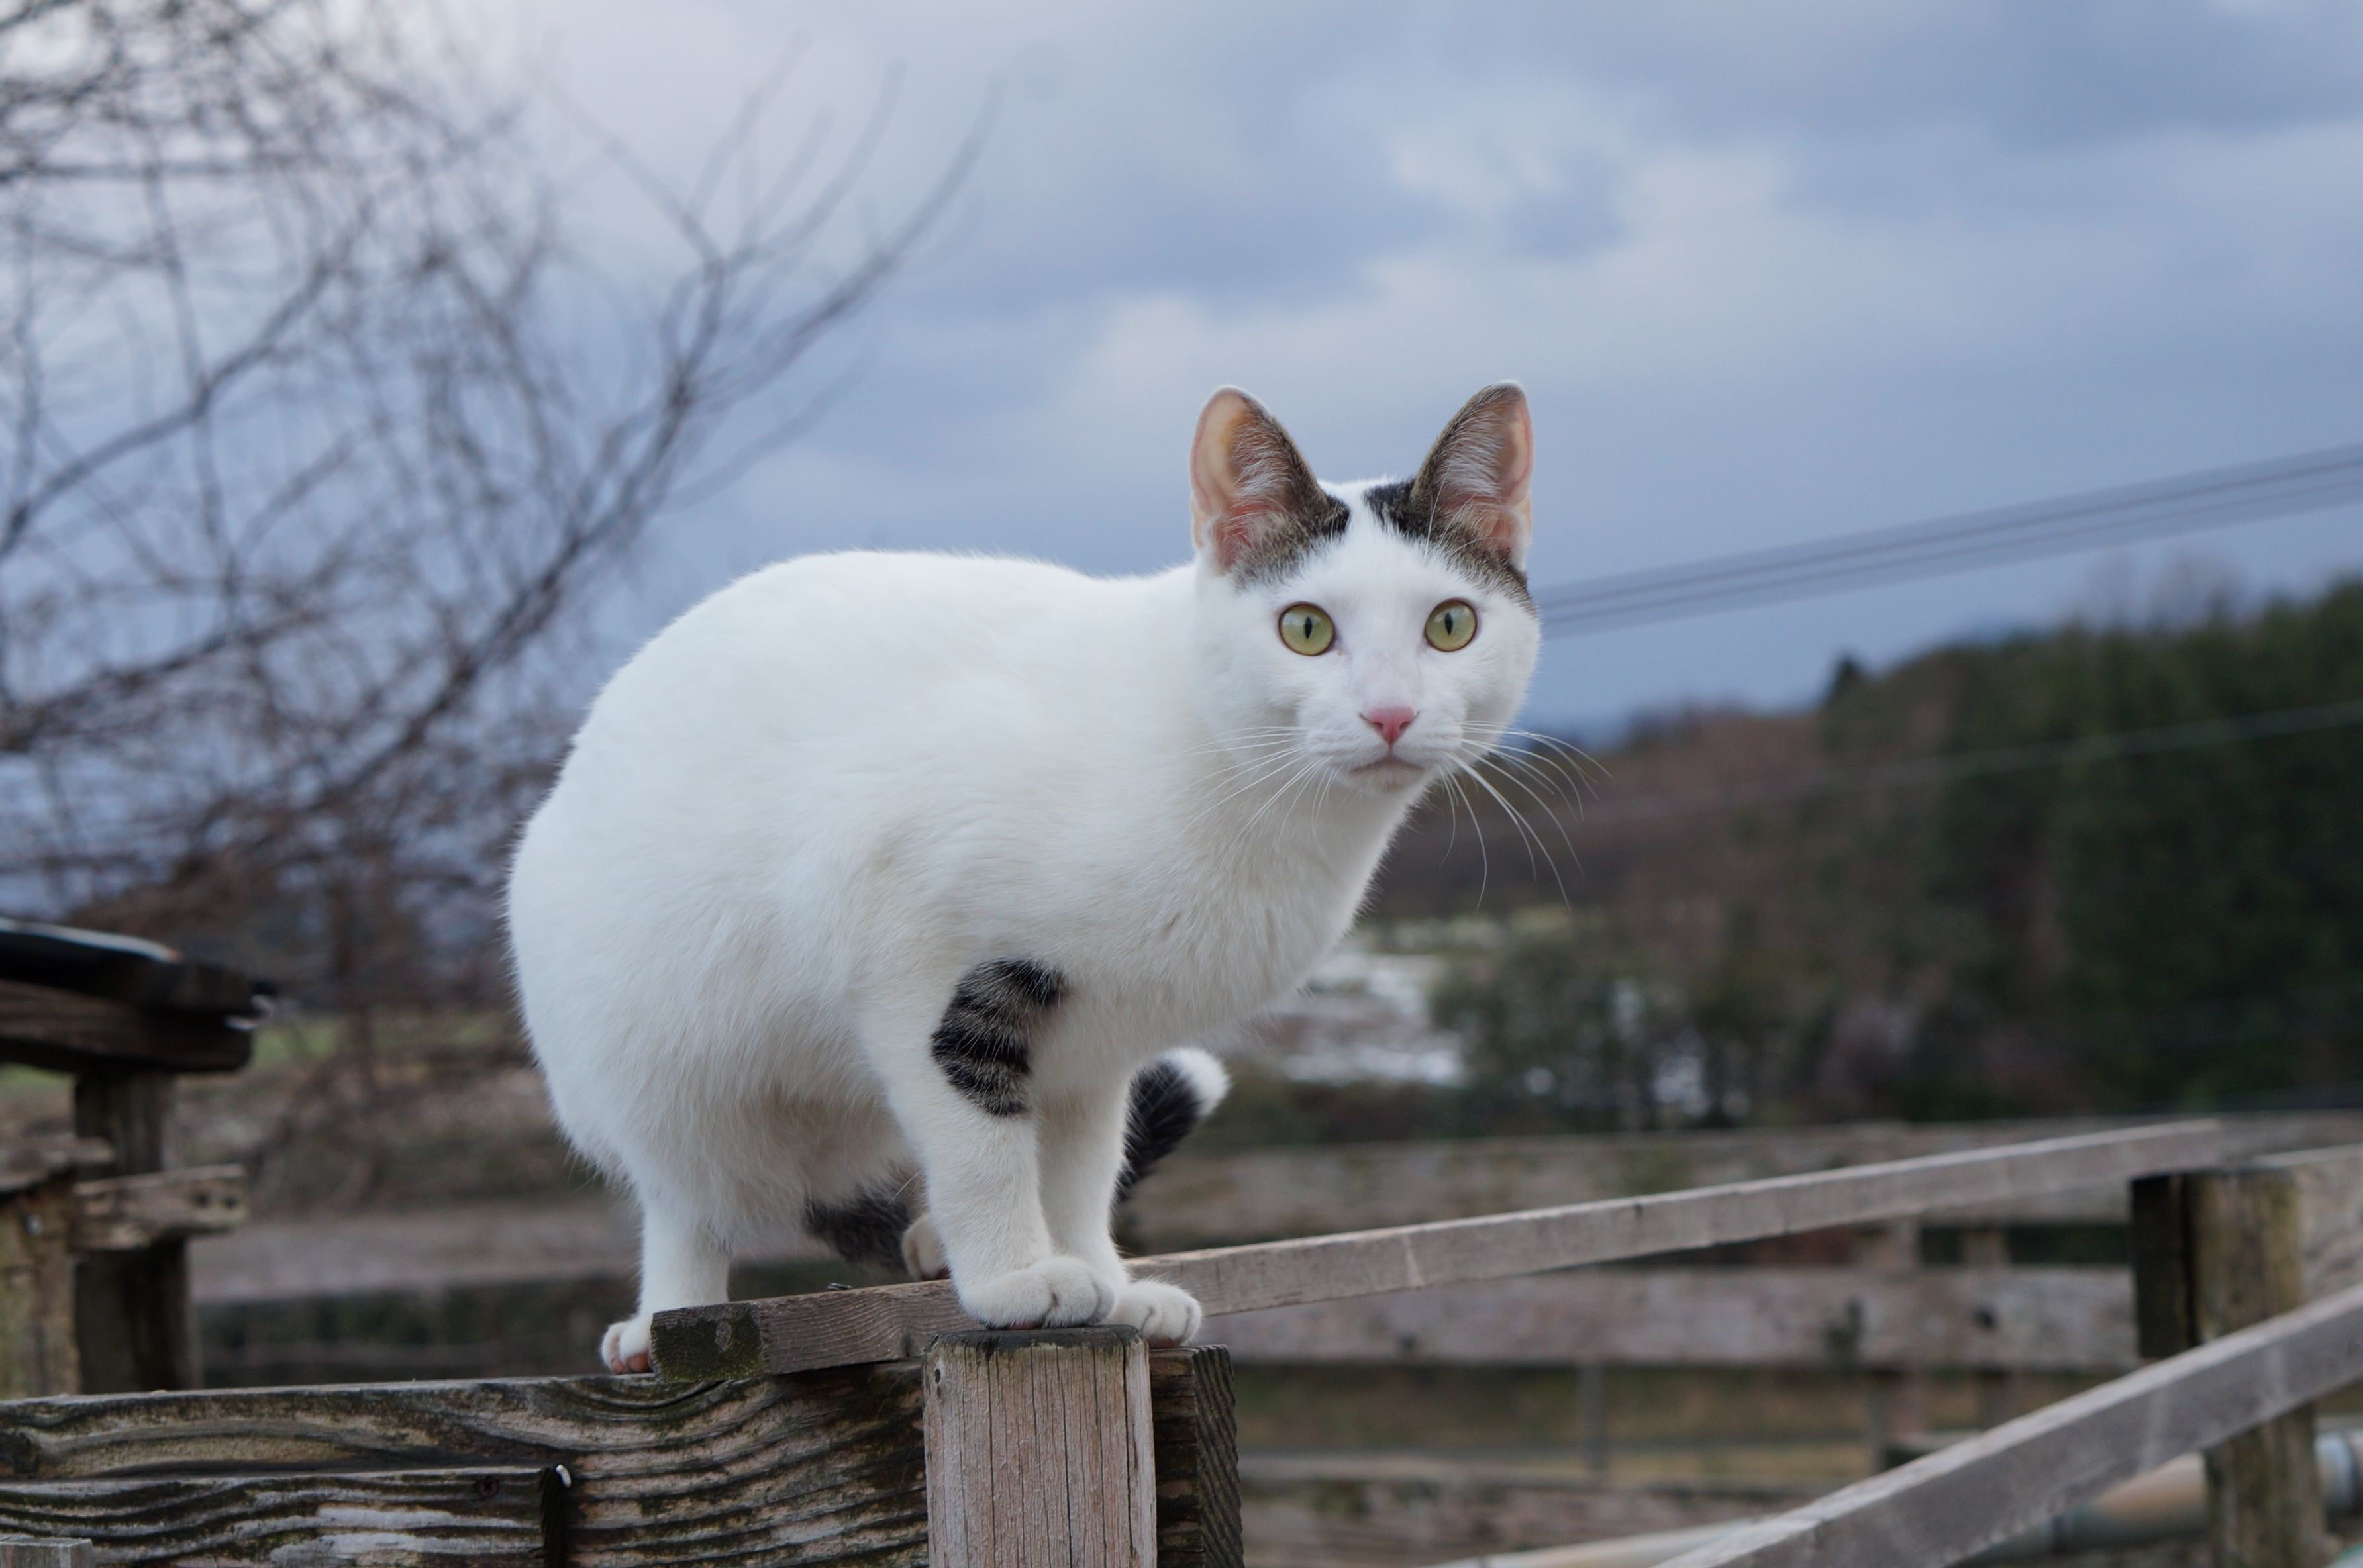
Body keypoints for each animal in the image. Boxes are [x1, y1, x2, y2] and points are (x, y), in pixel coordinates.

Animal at [506, 382, 1541, 1371]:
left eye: (1451, 625)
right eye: (1307, 629)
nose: (1390, 715)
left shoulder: (1096, 1042)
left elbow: (1079, 1167)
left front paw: (1100, 1279)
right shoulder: (912, 958)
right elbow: (982, 1144)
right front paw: (1015, 1278)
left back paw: (931, 1243)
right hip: (653, 1062)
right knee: (688, 1200)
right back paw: (663, 1320)